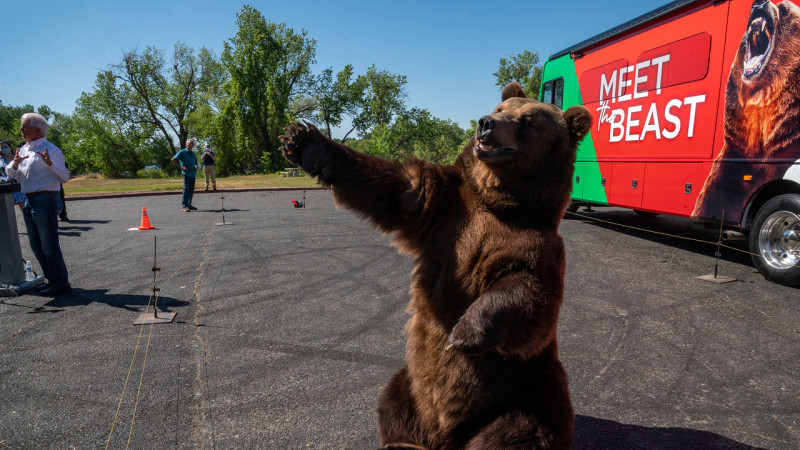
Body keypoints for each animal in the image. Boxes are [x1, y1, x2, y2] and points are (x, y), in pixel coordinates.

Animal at [280, 81, 592, 449]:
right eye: (501, 109)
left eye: (527, 120)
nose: (485, 124)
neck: (499, 203)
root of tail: (446, 435)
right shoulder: (445, 208)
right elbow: (400, 187)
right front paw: (303, 142)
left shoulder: (537, 247)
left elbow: (528, 294)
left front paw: (464, 334)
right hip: (413, 379)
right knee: (393, 399)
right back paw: (402, 442)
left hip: (528, 384)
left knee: (525, 426)